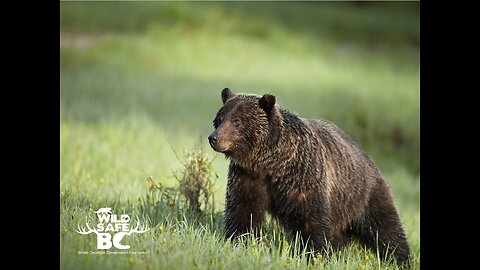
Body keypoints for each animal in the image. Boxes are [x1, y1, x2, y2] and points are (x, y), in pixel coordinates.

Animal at [208, 88, 410, 266]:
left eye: (237, 121)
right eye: (219, 119)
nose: (214, 138)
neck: (271, 164)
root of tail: (367, 158)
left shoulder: (304, 177)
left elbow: (311, 220)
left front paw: (313, 255)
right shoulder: (248, 177)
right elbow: (243, 212)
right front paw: (241, 243)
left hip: (363, 194)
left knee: (385, 229)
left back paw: (402, 260)